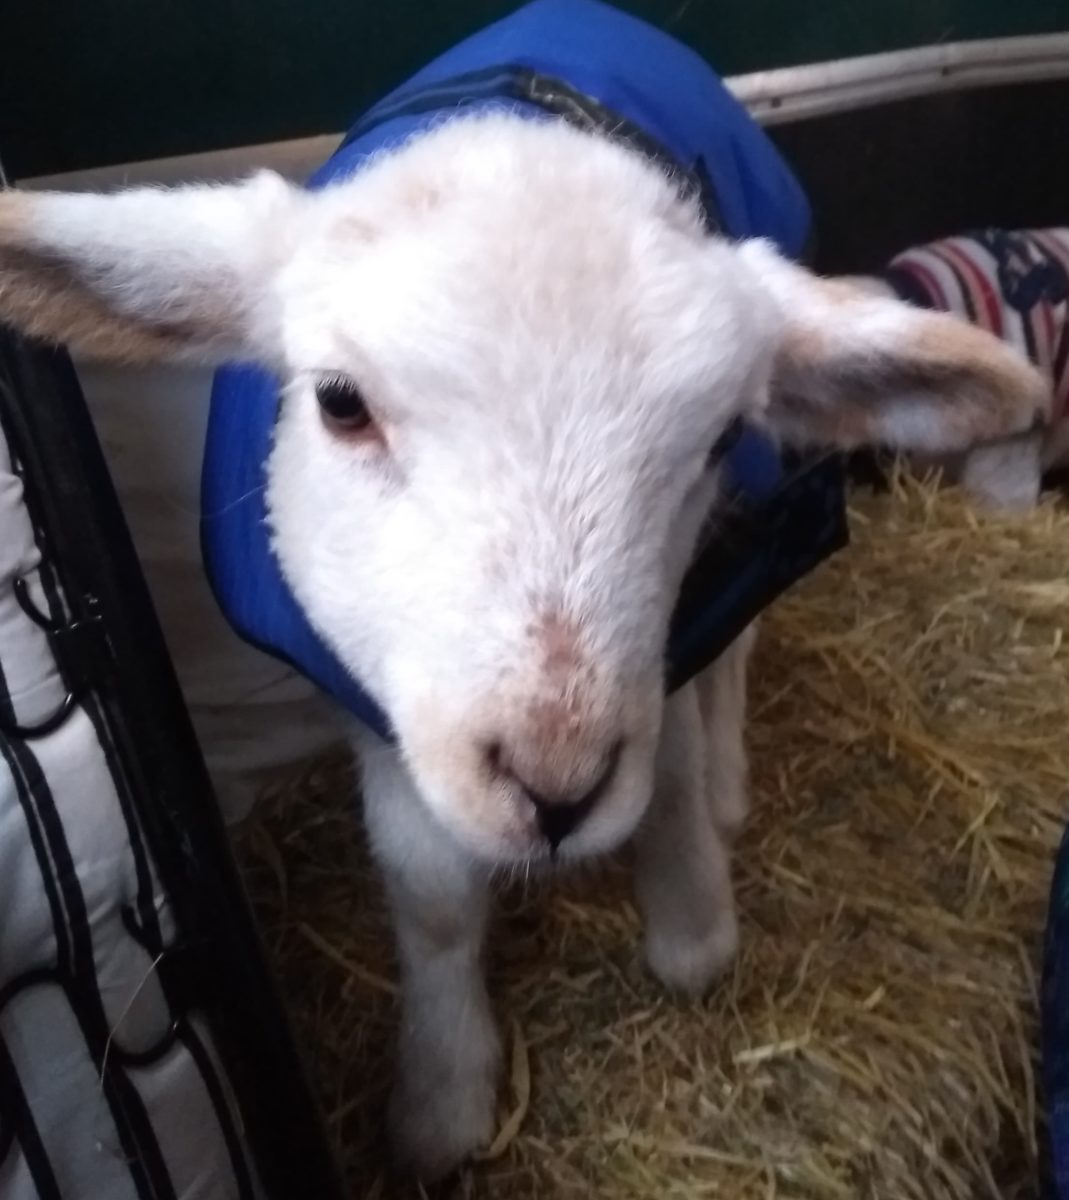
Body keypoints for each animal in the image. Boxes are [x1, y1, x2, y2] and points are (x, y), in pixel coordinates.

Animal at [0, 112, 1048, 1180]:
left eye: (717, 438)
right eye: (339, 402)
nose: (555, 789)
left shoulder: (673, 631)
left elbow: (671, 773)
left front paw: (691, 927)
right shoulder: (374, 700)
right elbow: (430, 896)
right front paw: (442, 1098)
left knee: (735, 656)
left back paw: (727, 785)